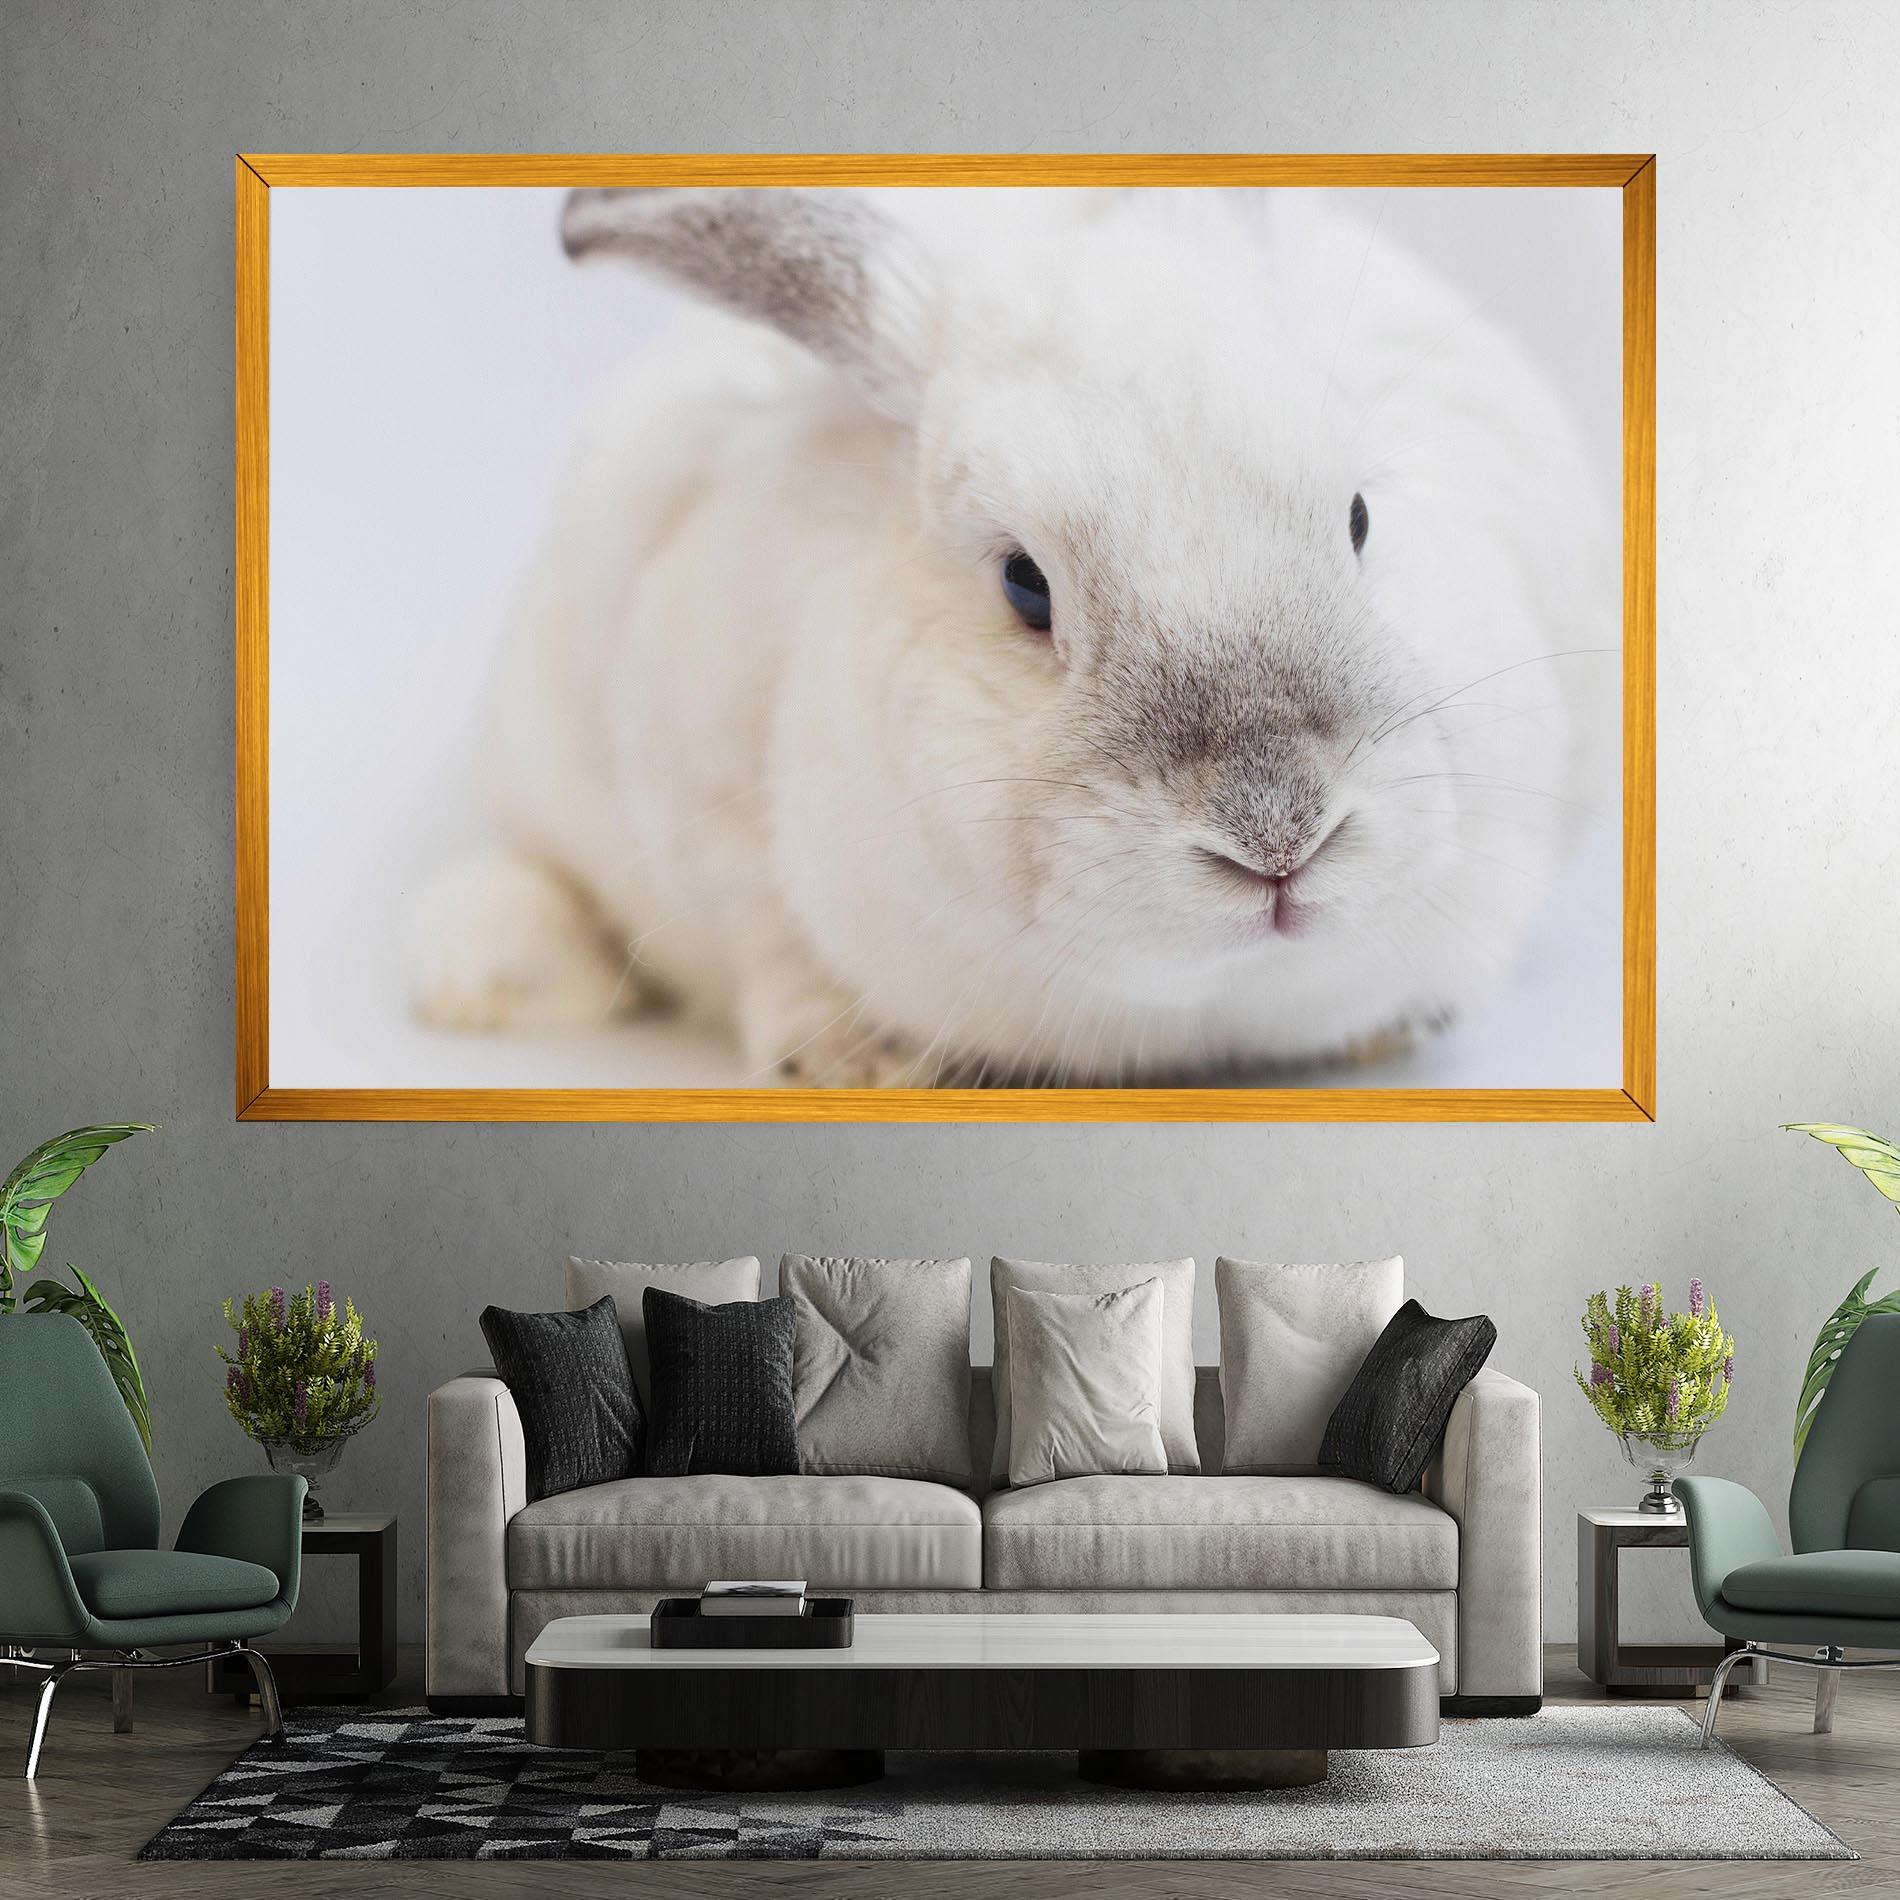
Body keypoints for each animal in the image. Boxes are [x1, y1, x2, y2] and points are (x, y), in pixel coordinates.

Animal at [407, 185, 1616, 1087]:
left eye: (1360, 516)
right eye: (1024, 584)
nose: (1278, 836)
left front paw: (1392, 1028)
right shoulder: (701, 796)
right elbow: (770, 943)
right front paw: (855, 1059)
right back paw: (481, 983)